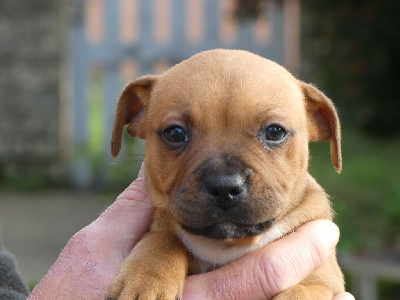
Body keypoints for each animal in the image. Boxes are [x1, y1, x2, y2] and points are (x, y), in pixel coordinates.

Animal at [106, 48, 344, 298]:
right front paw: (146, 279)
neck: (224, 247)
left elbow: (303, 290)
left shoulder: (325, 279)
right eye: (175, 133)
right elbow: (163, 239)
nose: (224, 187)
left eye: (275, 131)